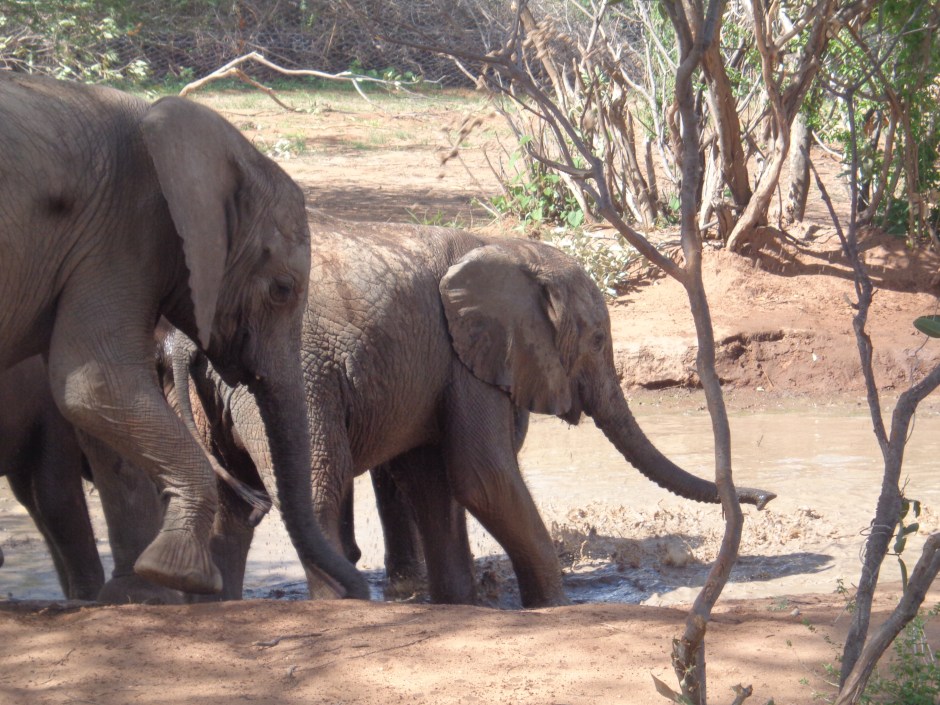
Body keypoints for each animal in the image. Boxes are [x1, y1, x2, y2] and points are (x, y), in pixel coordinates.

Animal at [0, 73, 367, 599]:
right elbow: (96, 386)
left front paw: (147, 594)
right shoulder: (124, 231)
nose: (362, 591)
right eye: (281, 290)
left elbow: (95, 410)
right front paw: (181, 575)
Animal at [169, 216, 775, 608]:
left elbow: (434, 478)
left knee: (231, 503)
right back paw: (342, 606)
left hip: (218, 394)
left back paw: (219, 607)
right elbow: (480, 475)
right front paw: (554, 607)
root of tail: (181, 341)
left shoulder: (438, 365)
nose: (766, 498)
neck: (509, 248)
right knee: (315, 486)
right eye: (599, 339)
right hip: (290, 379)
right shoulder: (466, 360)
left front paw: (458, 604)